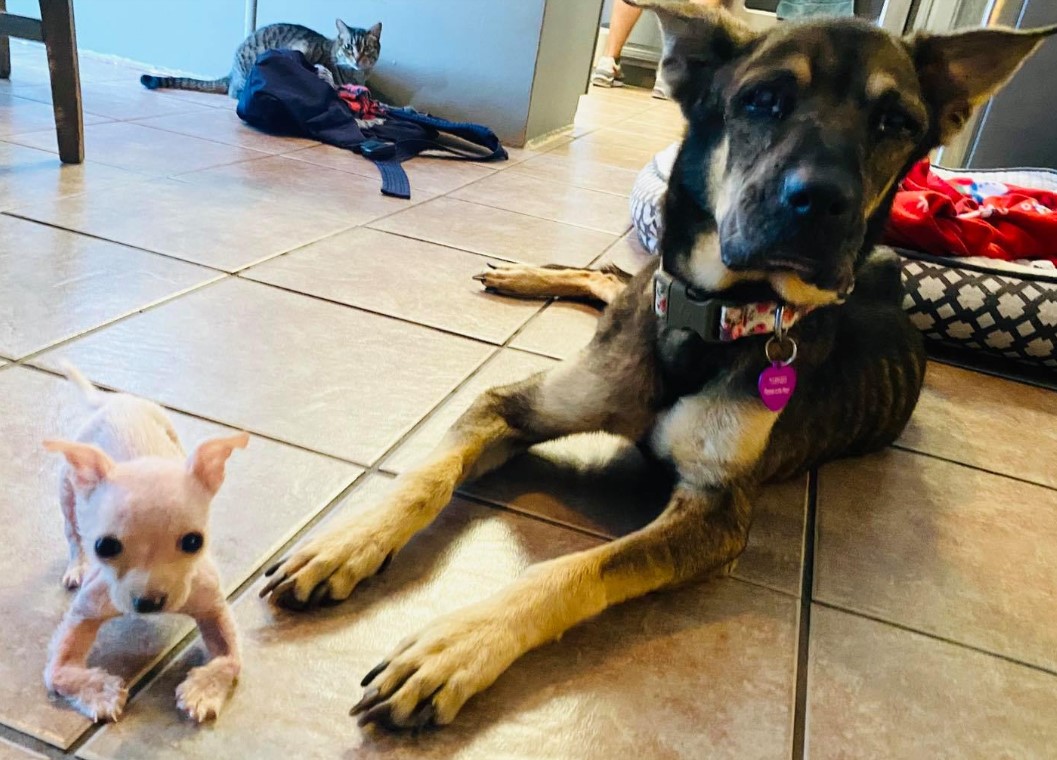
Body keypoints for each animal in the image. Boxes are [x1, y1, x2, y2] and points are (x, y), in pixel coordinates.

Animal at [43, 367, 247, 727]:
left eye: (194, 541)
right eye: (104, 547)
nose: (149, 603)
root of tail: (113, 400)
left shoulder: (211, 604)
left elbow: (232, 660)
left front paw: (202, 690)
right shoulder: (88, 607)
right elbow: (58, 672)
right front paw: (101, 692)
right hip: (67, 490)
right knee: (72, 531)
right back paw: (76, 566)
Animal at [141, 18, 384, 98]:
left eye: (366, 49)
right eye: (349, 48)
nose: (357, 59)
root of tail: (231, 72)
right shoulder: (301, 47)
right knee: (233, 92)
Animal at [262, 2, 1057, 735]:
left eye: (895, 121)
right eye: (761, 99)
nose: (820, 202)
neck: (710, 318)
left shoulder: (716, 512)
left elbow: (575, 568)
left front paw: (457, 646)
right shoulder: (515, 401)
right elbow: (425, 477)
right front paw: (345, 542)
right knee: (613, 277)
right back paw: (524, 274)